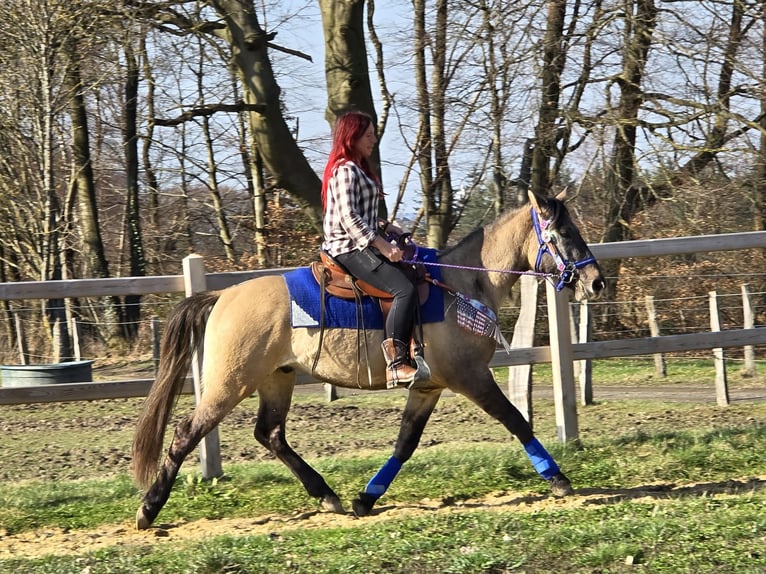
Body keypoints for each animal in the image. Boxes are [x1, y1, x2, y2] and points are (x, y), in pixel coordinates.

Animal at [131, 190, 605, 530]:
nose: (596, 281)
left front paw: (365, 498)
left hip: (276, 378)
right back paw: (149, 509)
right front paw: (558, 479)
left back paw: (327, 494)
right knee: (185, 434)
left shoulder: (428, 386)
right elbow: (516, 421)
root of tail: (220, 296)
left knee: (270, 434)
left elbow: (405, 443)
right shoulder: (471, 377)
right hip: (229, 384)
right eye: (565, 233)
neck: (461, 283)